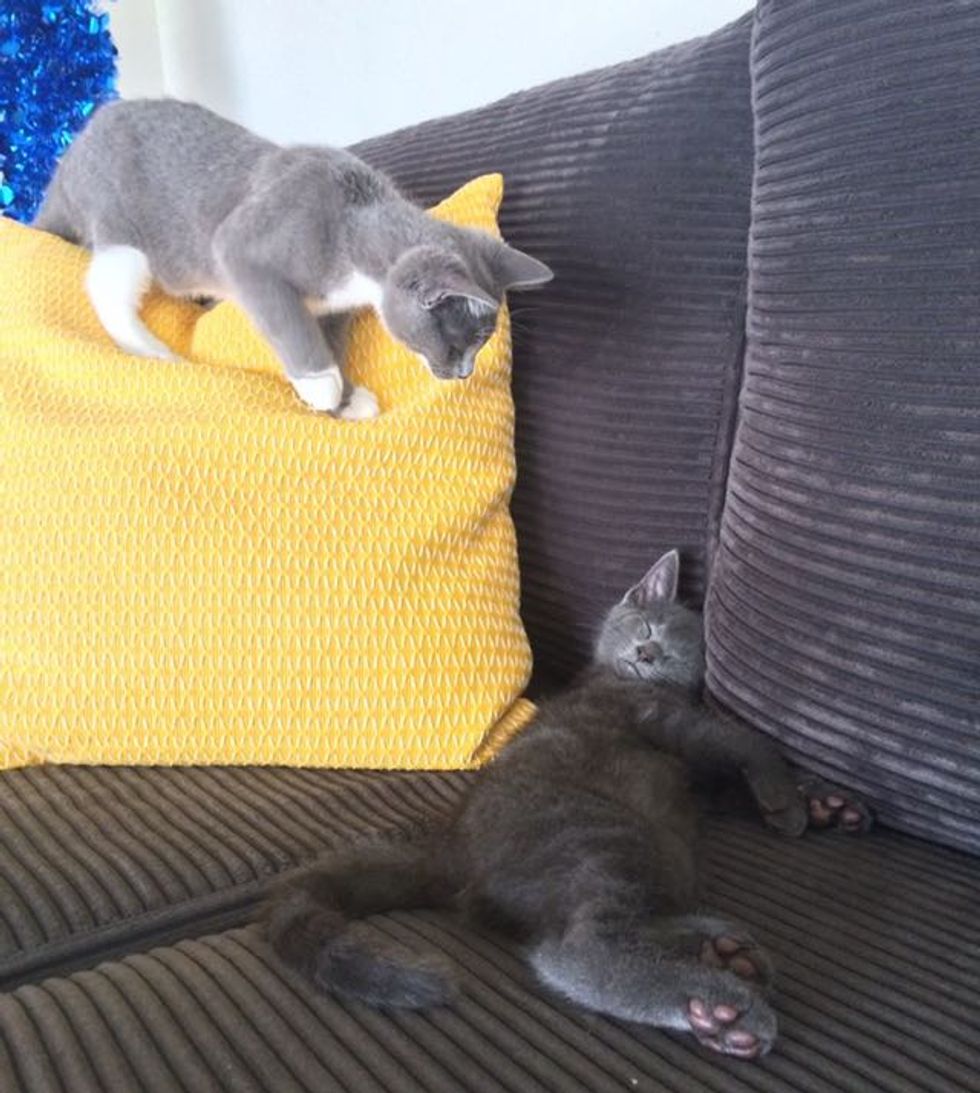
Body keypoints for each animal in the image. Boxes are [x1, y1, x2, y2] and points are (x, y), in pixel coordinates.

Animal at [33, 99, 553, 419]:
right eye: (460, 341)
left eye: (481, 343)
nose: (465, 373)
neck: (355, 219)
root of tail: (69, 156)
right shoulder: (244, 245)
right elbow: (287, 318)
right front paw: (322, 385)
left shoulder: (335, 309)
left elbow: (330, 337)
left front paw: (345, 400)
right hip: (125, 229)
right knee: (105, 287)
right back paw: (151, 350)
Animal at [264, 550, 871, 1059]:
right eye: (646, 628)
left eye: (672, 653)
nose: (645, 653)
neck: (616, 679)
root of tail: (453, 845)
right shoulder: (666, 721)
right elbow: (747, 740)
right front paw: (788, 801)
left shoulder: (691, 763)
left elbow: (732, 769)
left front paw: (823, 804)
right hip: (604, 832)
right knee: (576, 948)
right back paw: (722, 1002)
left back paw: (722, 953)